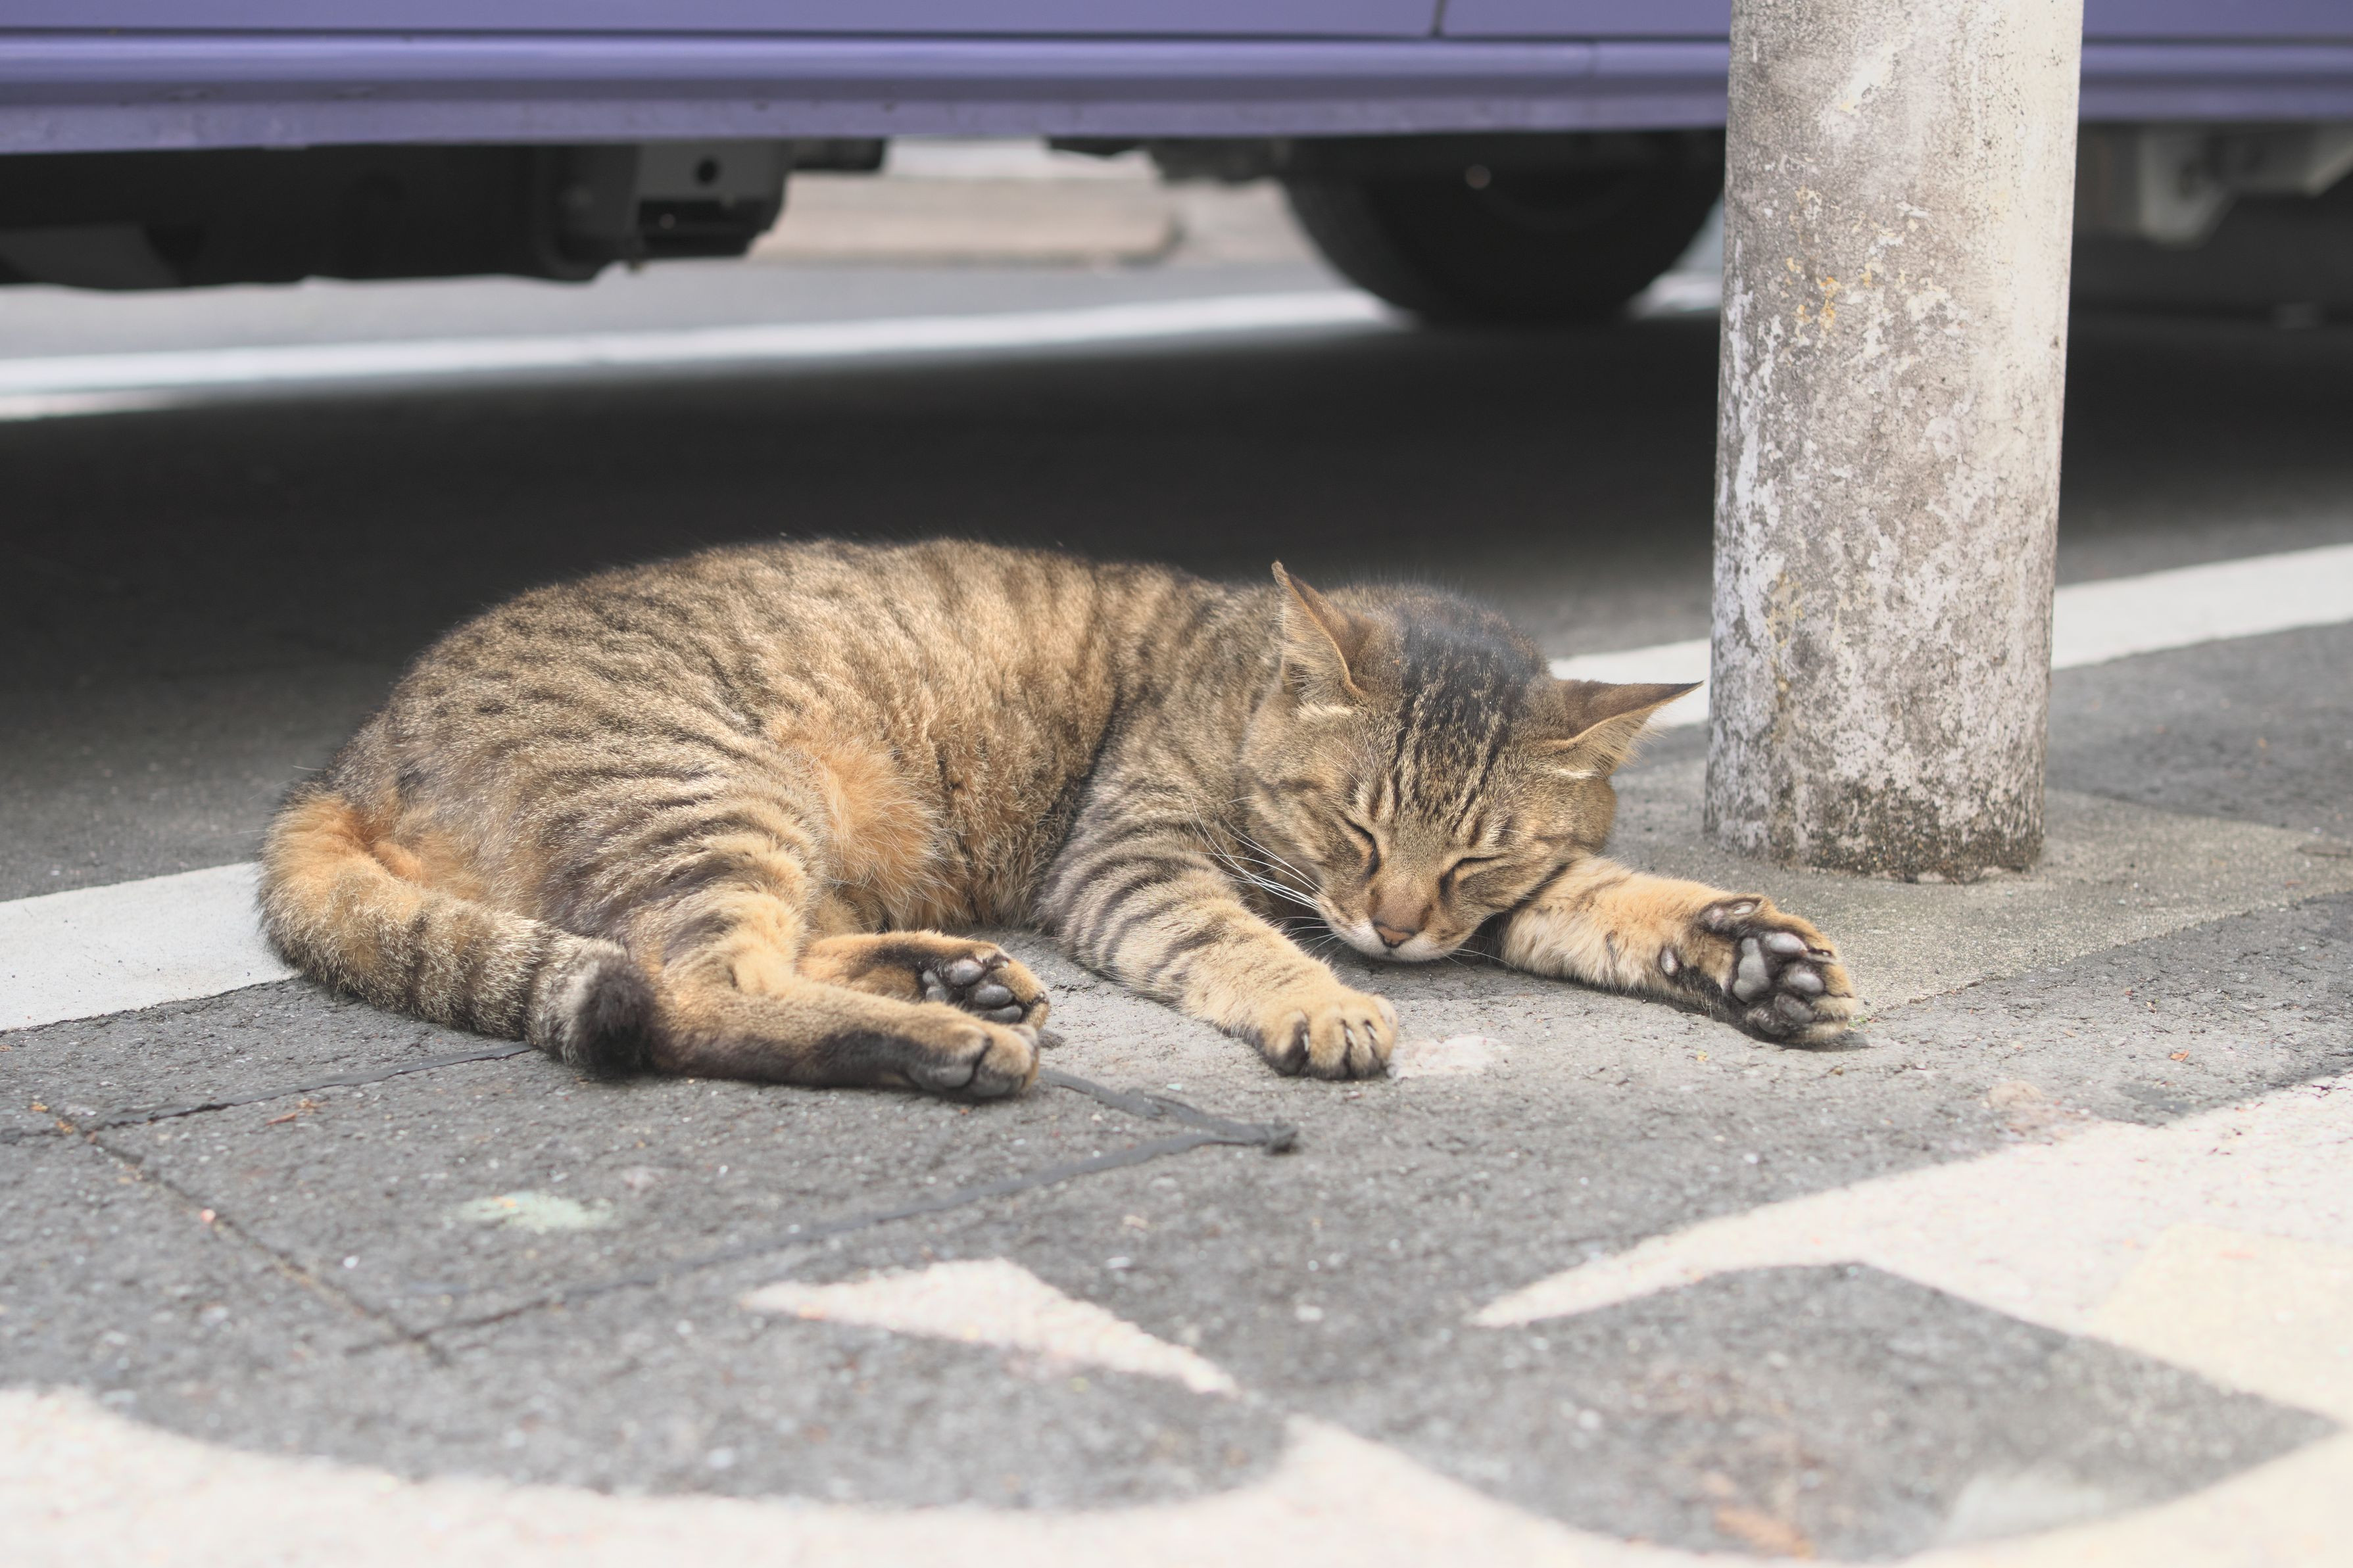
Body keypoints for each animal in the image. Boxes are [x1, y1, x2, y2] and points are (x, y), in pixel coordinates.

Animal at [260, 539, 1855, 1096]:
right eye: (1349, 830)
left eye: (1475, 855)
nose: (1397, 931)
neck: (1228, 685)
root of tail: (346, 757)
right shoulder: (1135, 858)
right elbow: (1244, 939)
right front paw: (1321, 998)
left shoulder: (1515, 891)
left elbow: (1613, 900)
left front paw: (1747, 951)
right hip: (717, 795)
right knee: (699, 987)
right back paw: (940, 1039)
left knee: (728, 962)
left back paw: (947, 979)